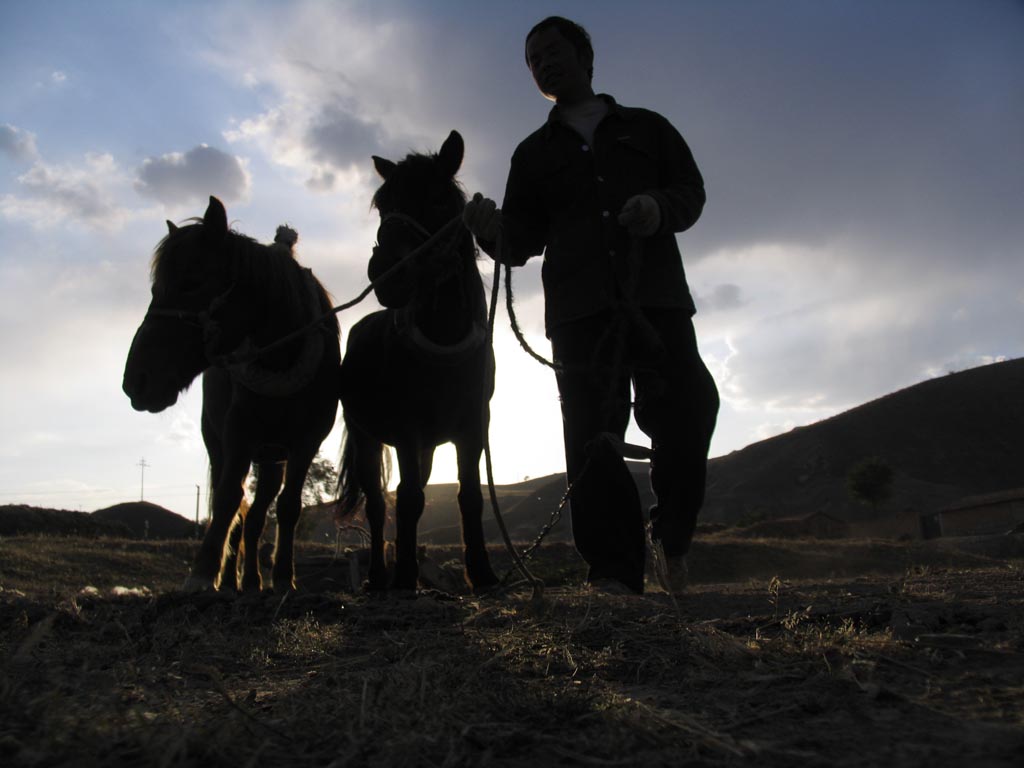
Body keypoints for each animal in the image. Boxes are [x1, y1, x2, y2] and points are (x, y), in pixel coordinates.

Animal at [122, 195, 339, 593]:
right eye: (155, 289)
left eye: (191, 282)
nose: (136, 381)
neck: (281, 354)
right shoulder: (238, 432)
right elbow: (226, 499)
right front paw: (204, 572)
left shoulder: (306, 441)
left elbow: (288, 507)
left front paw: (284, 578)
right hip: (220, 440)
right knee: (236, 506)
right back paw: (232, 579)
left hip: (271, 458)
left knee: (256, 516)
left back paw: (253, 579)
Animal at [339, 129, 499, 593]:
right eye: (383, 205)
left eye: (438, 200)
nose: (387, 273)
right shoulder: (407, 428)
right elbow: (408, 500)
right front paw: (405, 577)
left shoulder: (473, 425)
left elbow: (469, 495)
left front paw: (483, 573)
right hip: (365, 437)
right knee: (378, 504)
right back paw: (378, 576)